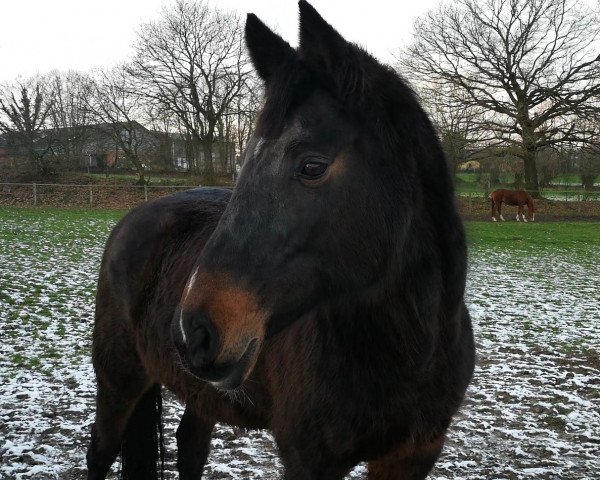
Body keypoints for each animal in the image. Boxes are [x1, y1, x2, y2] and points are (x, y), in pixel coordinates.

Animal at [86, 1, 476, 478]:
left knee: (190, 444)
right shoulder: (308, 459)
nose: (191, 332)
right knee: (101, 450)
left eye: (312, 166)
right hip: (119, 380)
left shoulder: (413, 455)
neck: (407, 355)